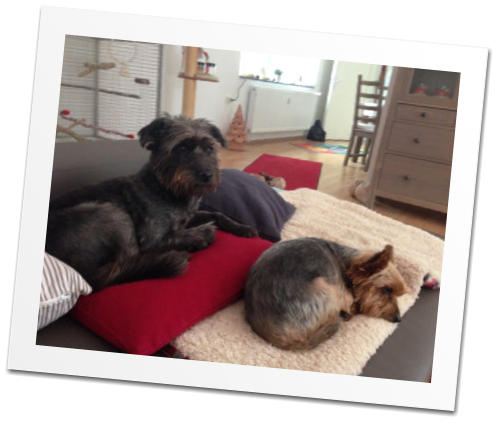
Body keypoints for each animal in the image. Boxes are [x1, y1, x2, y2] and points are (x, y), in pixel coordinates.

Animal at [45, 114, 257, 291]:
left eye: (209, 148)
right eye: (181, 147)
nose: (207, 175)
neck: (167, 189)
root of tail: (82, 275)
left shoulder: (187, 218)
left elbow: (216, 214)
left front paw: (243, 227)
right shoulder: (151, 239)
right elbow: (173, 237)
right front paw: (202, 234)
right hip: (111, 213)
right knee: (131, 257)